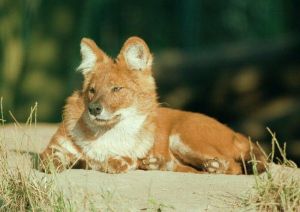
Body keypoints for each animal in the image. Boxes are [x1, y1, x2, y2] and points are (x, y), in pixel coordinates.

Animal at [39, 36, 264, 175]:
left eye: (117, 89)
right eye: (92, 90)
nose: (94, 109)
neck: (107, 134)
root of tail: (236, 133)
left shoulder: (134, 153)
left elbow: (125, 159)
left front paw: (115, 161)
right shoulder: (55, 148)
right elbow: (49, 158)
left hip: (183, 137)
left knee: (234, 166)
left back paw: (214, 166)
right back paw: (159, 164)